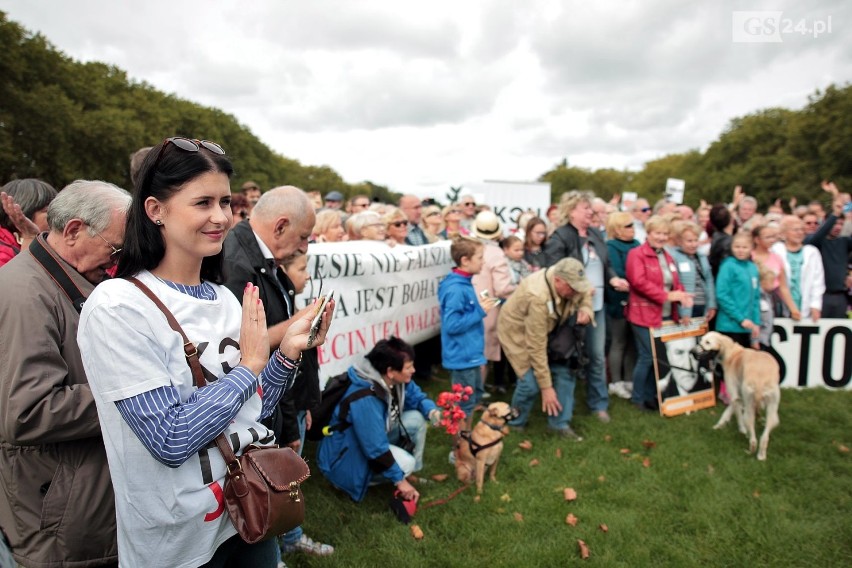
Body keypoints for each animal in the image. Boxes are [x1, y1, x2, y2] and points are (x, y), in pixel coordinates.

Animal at [692, 330, 780, 460]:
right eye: (701, 340)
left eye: (707, 342)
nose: (692, 352)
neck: (732, 353)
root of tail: (760, 378)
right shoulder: (738, 397)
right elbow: (728, 411)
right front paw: (720, 425)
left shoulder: (735, 395)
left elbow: (736, 414)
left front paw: (741, 429)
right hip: (772, 410)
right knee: (764, 437)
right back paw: (761, 456)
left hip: (750, 408)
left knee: (753, 438)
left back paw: (750, 447)